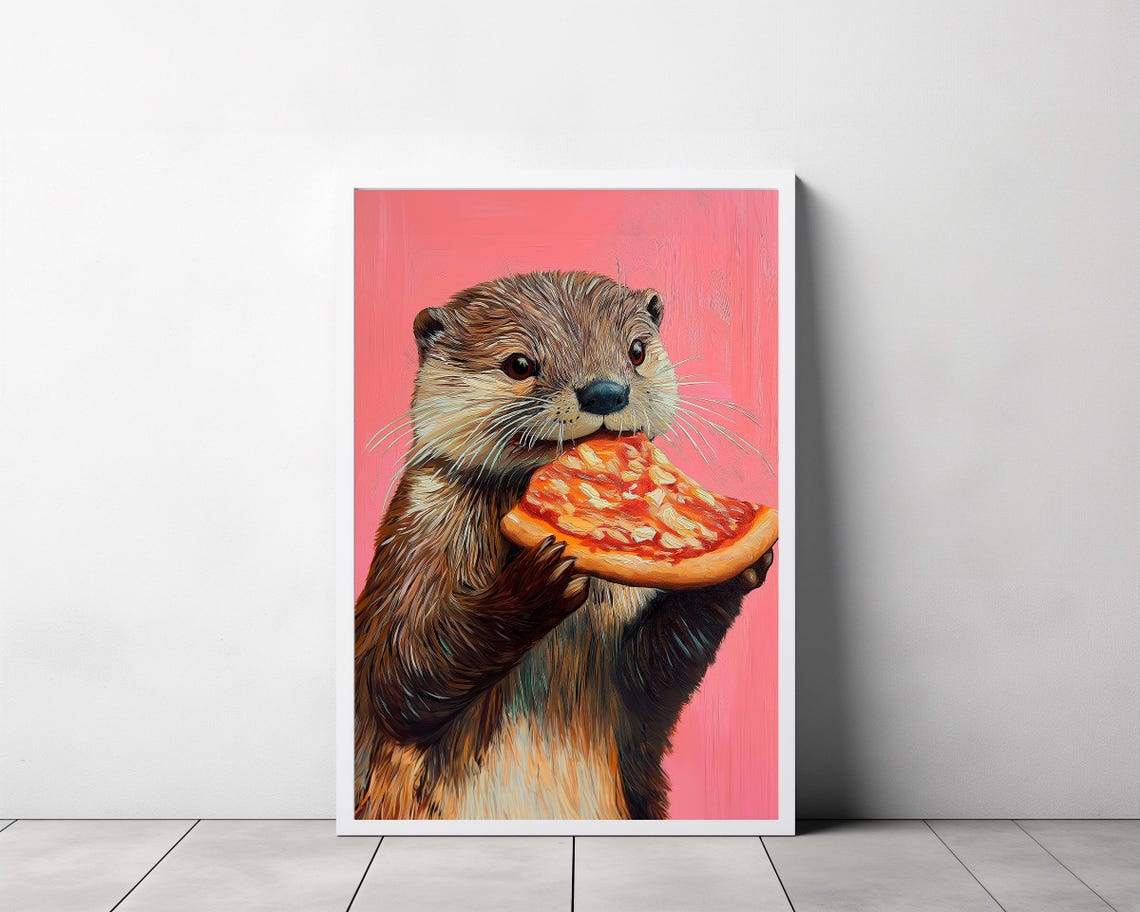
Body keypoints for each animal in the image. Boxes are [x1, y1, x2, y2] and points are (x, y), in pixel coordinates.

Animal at [354, 270, 773, 820]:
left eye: (637, 351)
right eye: (519, 364)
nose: (605, 391)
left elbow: (654, 678)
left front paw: (735, 571)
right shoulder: (416, 540)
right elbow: (399, 675)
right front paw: (537, 582)